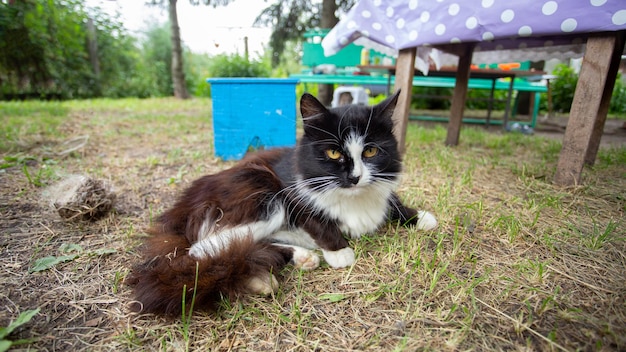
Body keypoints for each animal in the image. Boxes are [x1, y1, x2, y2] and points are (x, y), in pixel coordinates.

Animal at [128, 90, 434, 314]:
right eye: (334, 153)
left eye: (370, 152)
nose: (356, 177)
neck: (352, 197)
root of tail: (181, 207)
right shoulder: (292, 192)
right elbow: (316, 219)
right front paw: (339, 251)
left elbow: (390, 199)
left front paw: (419, 216)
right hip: (262, 190)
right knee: (203, 248)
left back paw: (290, 261)